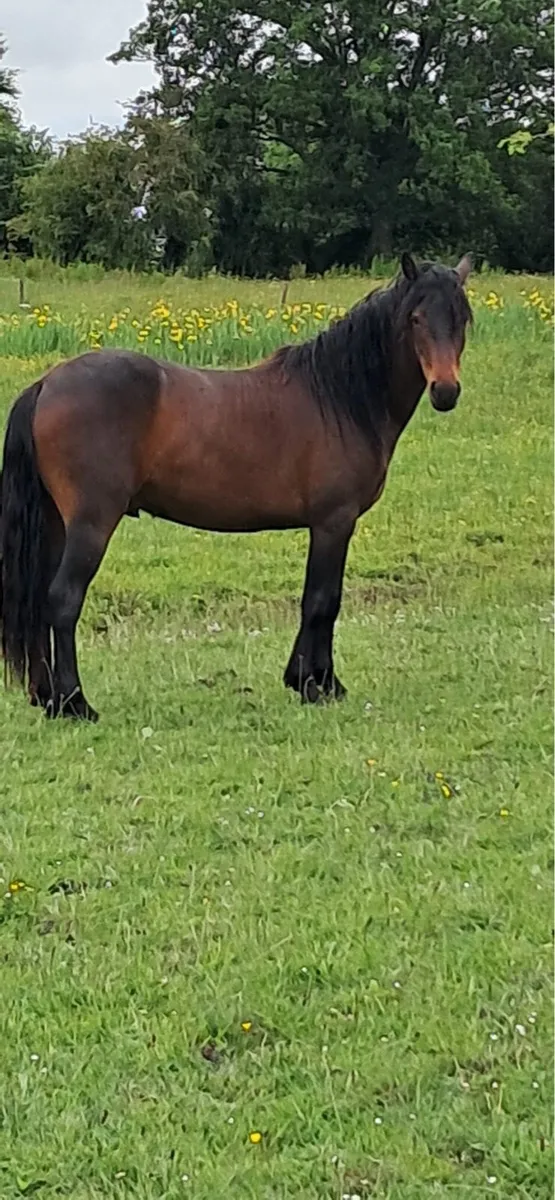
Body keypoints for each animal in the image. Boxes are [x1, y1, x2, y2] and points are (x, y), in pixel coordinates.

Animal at [0, 253, 472, 722]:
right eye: (415, 318)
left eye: (463, 318)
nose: (445, 391)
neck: (339, 397)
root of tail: (46, 384)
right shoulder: (333, 522)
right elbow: (323, 600)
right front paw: (314, 684)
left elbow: (319, 599)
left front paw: (313, 680)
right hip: (91, 523)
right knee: (63, 600)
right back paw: (74, 702)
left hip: (55, 524)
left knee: (40, 601)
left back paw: (47, 697)